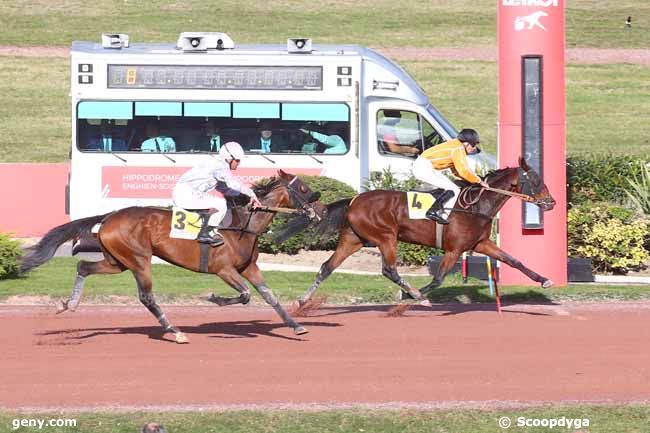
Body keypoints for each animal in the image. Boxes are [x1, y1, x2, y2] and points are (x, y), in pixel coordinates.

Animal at [20, 170, 324, 342]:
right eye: (304, 189)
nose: (320, 211)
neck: (241, 225)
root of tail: (109, 217)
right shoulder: (224, 270)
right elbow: (246, 295)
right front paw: (213, 298)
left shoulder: (248, 267)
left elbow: (269, 296)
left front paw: (296, 326)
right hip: (139, 261)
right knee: (147, 297)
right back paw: (174, 331)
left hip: (117, 261)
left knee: (84, 266)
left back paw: (68, 304)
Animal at [288, 157, 552, 306]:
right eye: (536, 180)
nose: (552, 203)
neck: (477, 206)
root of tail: (354, 200)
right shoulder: (454, 249)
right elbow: (438, 279)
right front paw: (412, 296)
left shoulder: (480, 244)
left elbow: (514, 261)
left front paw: (544, 280)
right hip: (386, 237)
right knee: (389, 269)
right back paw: (415, 295)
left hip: (354, 239)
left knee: (327, 267)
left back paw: (302, 300)